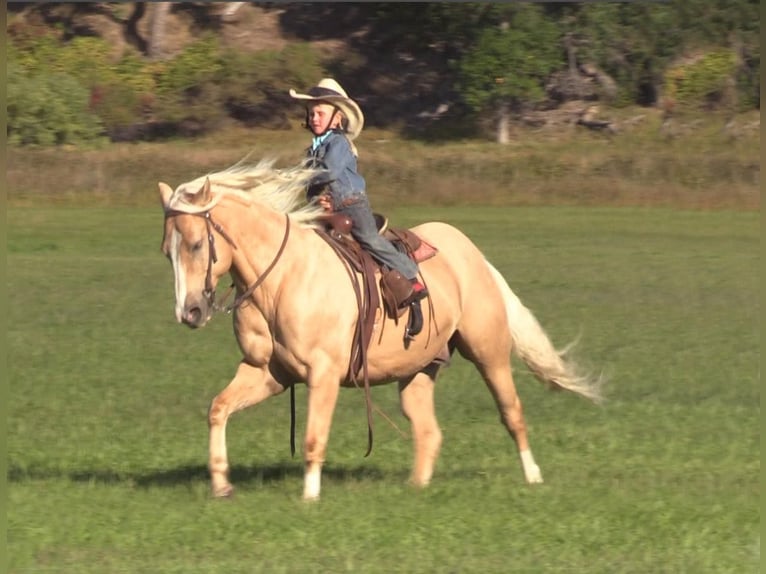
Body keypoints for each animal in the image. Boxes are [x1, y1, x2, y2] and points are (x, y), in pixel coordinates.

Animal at [159, 160, 604, 502]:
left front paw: (310, 496)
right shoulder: (268, 372)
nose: (190, 312)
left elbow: (313, 437)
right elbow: (218, 409)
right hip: (417, 372)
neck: (283, 278)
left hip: (488, 352)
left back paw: (533, 476)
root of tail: (472, 254)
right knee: (429, 431)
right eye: (167, 251)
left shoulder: (323, 375)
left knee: (512, 412)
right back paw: (416, 487)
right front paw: (221, 485)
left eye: (197, 244)